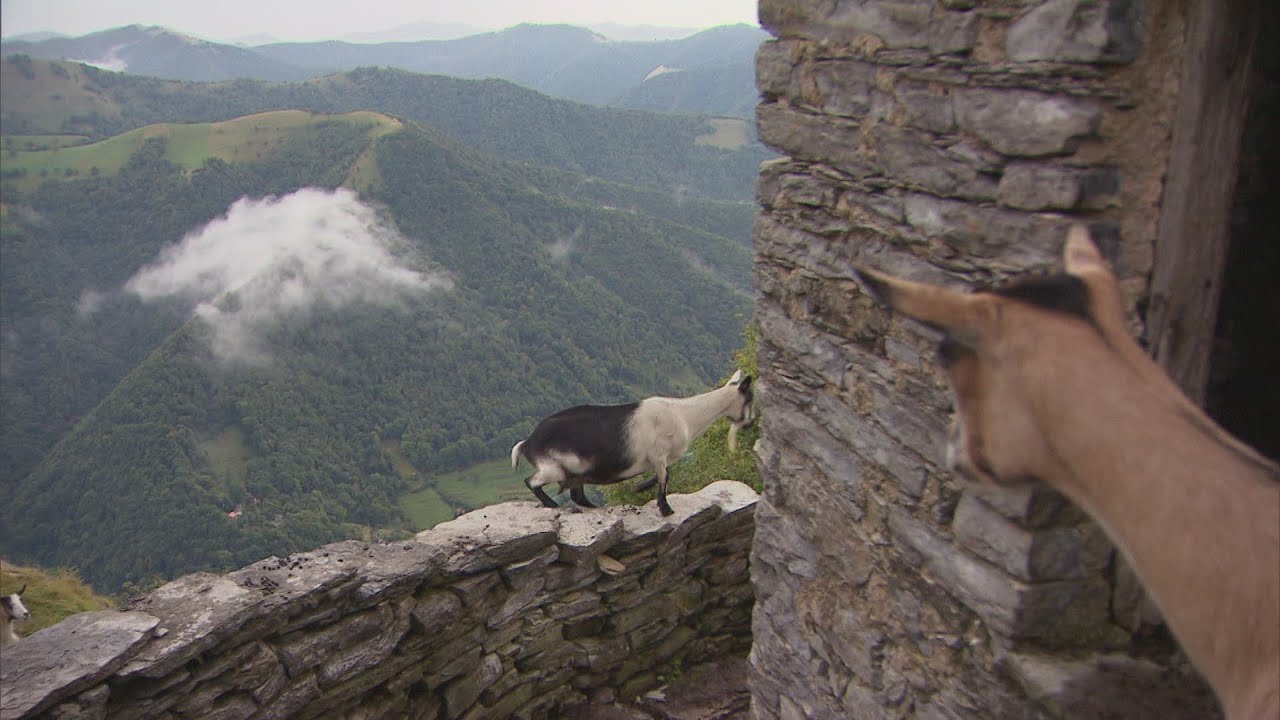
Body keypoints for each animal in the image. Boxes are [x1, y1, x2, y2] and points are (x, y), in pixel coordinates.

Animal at [506, 368, 752, 509]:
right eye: (749, 397)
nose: (750, 424)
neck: (683, 415)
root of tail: (528, 442)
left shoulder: (661, 459)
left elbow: (664, 475)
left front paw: (639, 488)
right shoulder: (659, 454)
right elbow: (665, 478)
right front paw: (665, 508)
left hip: (576, 472)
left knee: (576, 494)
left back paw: (592, 507)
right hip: (554, 468)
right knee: (531, 482)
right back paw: (551, 504)